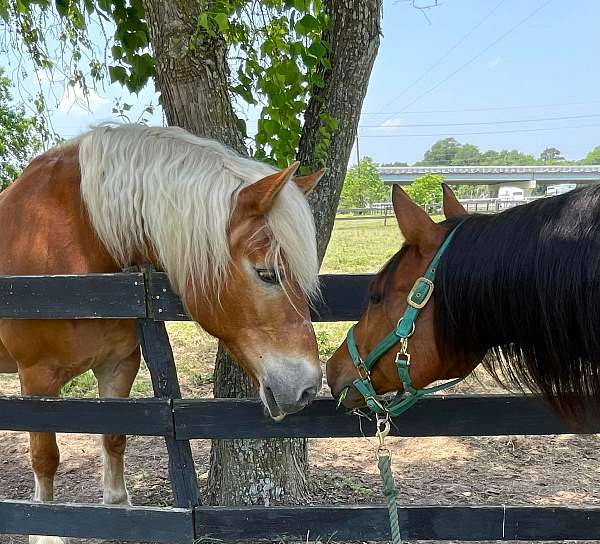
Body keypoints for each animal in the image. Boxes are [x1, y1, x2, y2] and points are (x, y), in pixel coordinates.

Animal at [0, 124, 326, 544]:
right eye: (268, 273)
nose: (307, 389)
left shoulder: (118, 365)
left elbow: (115, 438)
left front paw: (119, 511)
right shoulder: (37, 379)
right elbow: (45, 458)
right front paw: (46, 533)